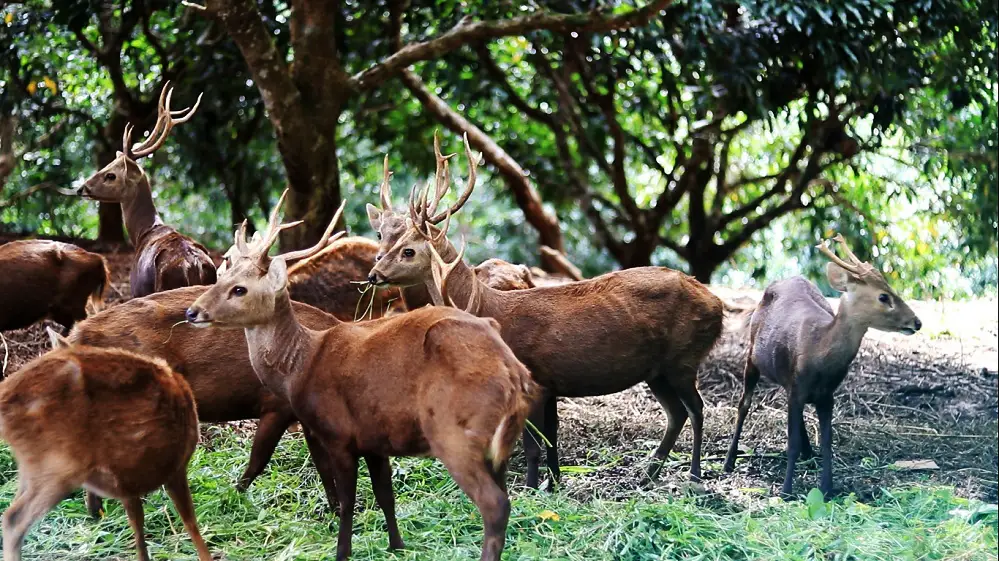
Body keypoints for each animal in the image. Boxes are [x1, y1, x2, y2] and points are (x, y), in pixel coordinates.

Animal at [0, 326, 213, 556]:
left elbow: (138, 526)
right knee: (13, 518)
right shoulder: (175, 466)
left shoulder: (126, 481)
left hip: (31, 467)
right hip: (59, 465)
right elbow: (190, 522)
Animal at [184, 189, 536, 560]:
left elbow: (349, 501)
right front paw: (396, 545)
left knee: (495, 504)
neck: (302, 363)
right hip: (495, 447)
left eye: (240, 289)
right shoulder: (374, 438)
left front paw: (342, 551)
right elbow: (386, 497)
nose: (193, 311)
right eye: (222, 278)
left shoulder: (340, 433)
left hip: (453, 432)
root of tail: (514, 374)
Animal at [368, 133, 728, 488]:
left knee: (697, 409)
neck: (489, 308)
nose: (374, 273)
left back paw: (695, 474)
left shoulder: (534, 379)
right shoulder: (552, 384)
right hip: (657, 370)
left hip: (684, 356)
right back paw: (647, 474)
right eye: (382, 238)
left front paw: (531, 487)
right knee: (676, 412)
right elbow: (552, 438)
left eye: (408, 250)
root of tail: (717, 304)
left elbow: (533, 444)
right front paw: (553, 483)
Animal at [724, 234, 924, 496]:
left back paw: (808, 454)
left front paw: (828, 488)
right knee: (744, 404)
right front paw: (786, 491)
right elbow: (791, 443)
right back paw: (728, 462)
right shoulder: (798, 387)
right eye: (883, 296)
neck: (819, 353)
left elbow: (828, 443)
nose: (917, 322)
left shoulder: (826, 395)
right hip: (751, 356)